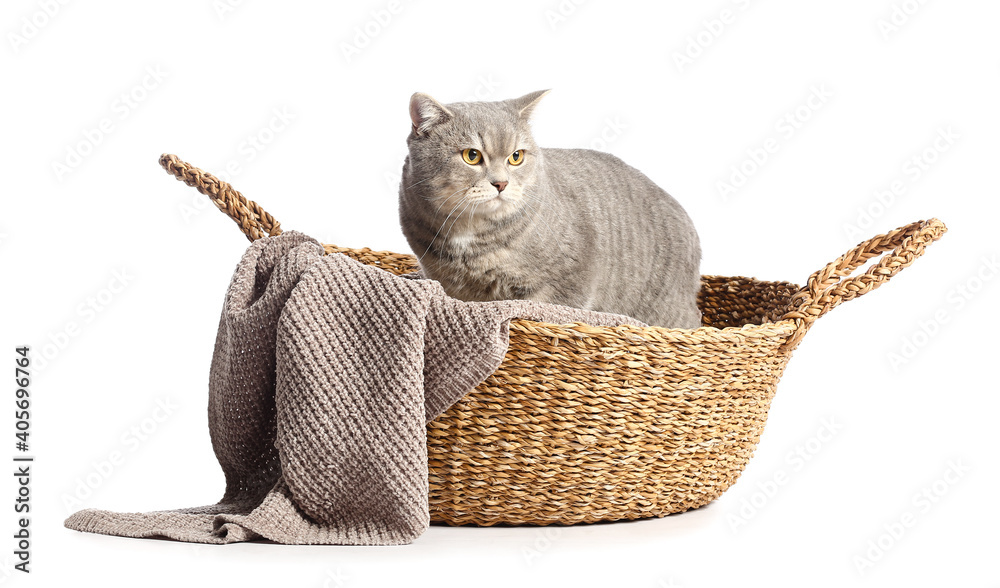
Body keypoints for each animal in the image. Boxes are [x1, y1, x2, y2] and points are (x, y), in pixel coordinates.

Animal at [398, 92, 704, 330]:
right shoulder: (447, 282)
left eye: (516, 157)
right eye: (471, 156)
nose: (501, 183)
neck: (470, 235)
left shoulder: (568, 282)